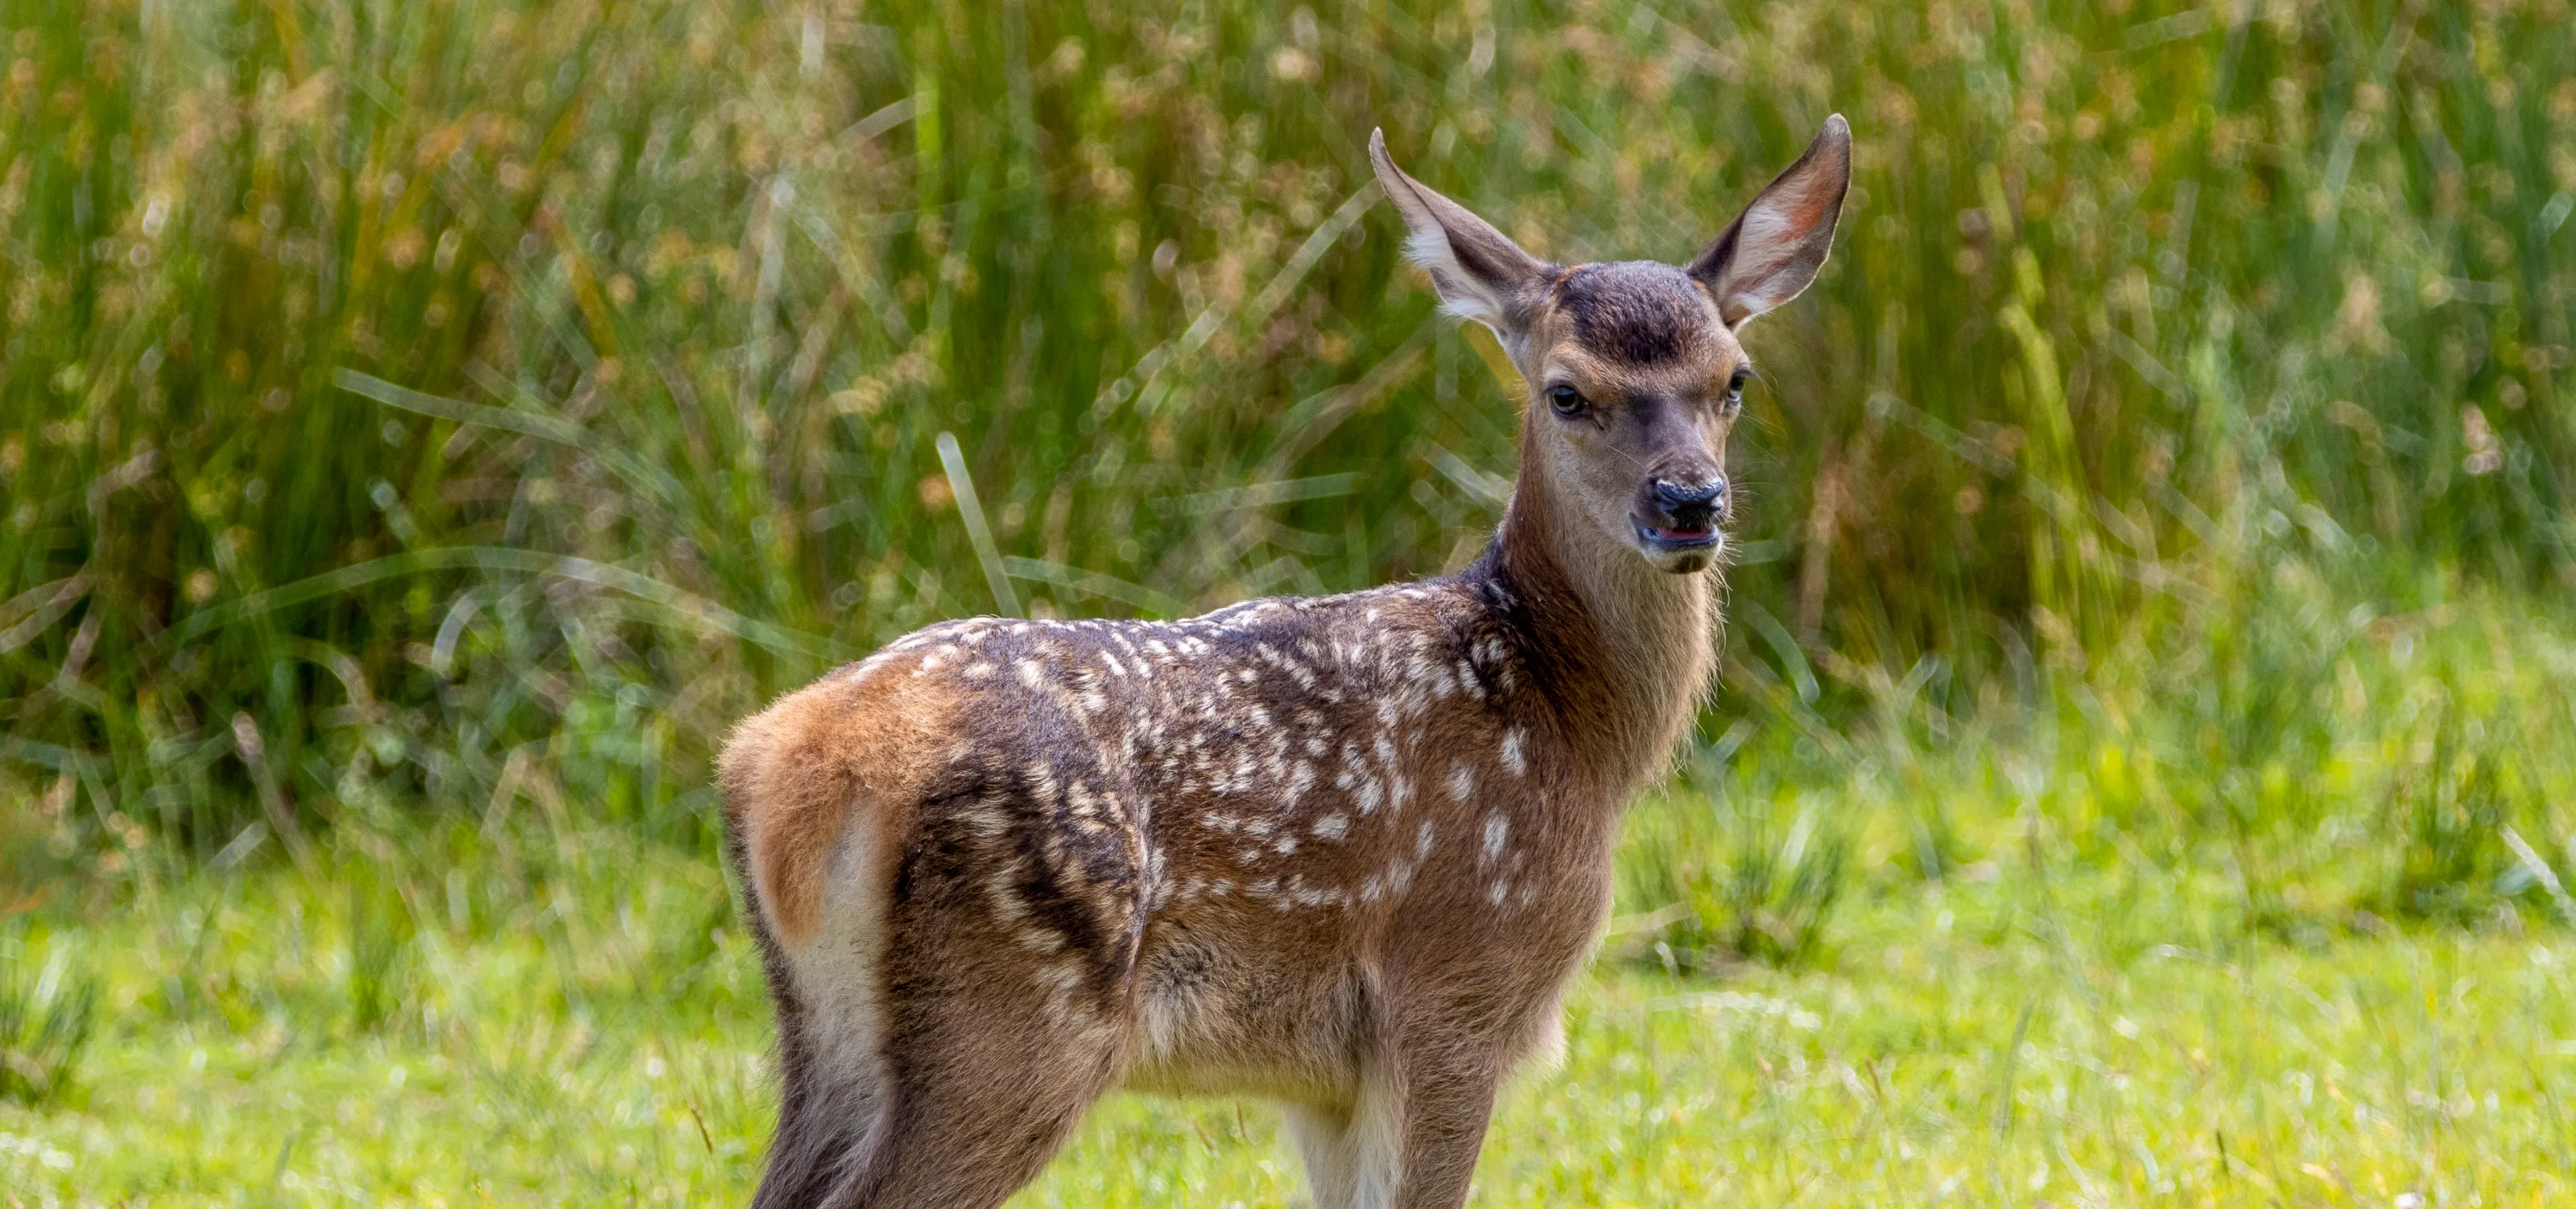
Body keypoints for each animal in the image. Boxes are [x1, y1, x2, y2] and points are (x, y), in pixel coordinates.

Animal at [718, 114, 1852, 1209]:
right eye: (1565, 392)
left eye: (1734, 380)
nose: (1688, 502)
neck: (1571, 722)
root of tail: (794, 763)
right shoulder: (1454, 987)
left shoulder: (1324, 1078)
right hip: (1022, 1006)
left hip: (824, 1031)